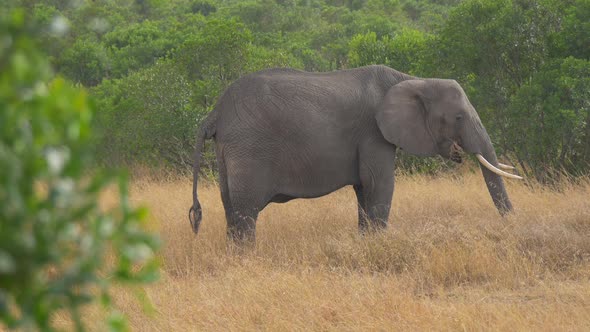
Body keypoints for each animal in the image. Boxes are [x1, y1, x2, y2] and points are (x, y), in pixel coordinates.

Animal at [188, 64, 524, 244]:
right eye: (457, 117)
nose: (510, 228)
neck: (411, 79)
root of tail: (214, 113)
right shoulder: (373, 133)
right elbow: (380, 186)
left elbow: (365, 192)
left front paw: (366, 244)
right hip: (248, 147)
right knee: (246, 211)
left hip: (229, 149)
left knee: (231, 208)